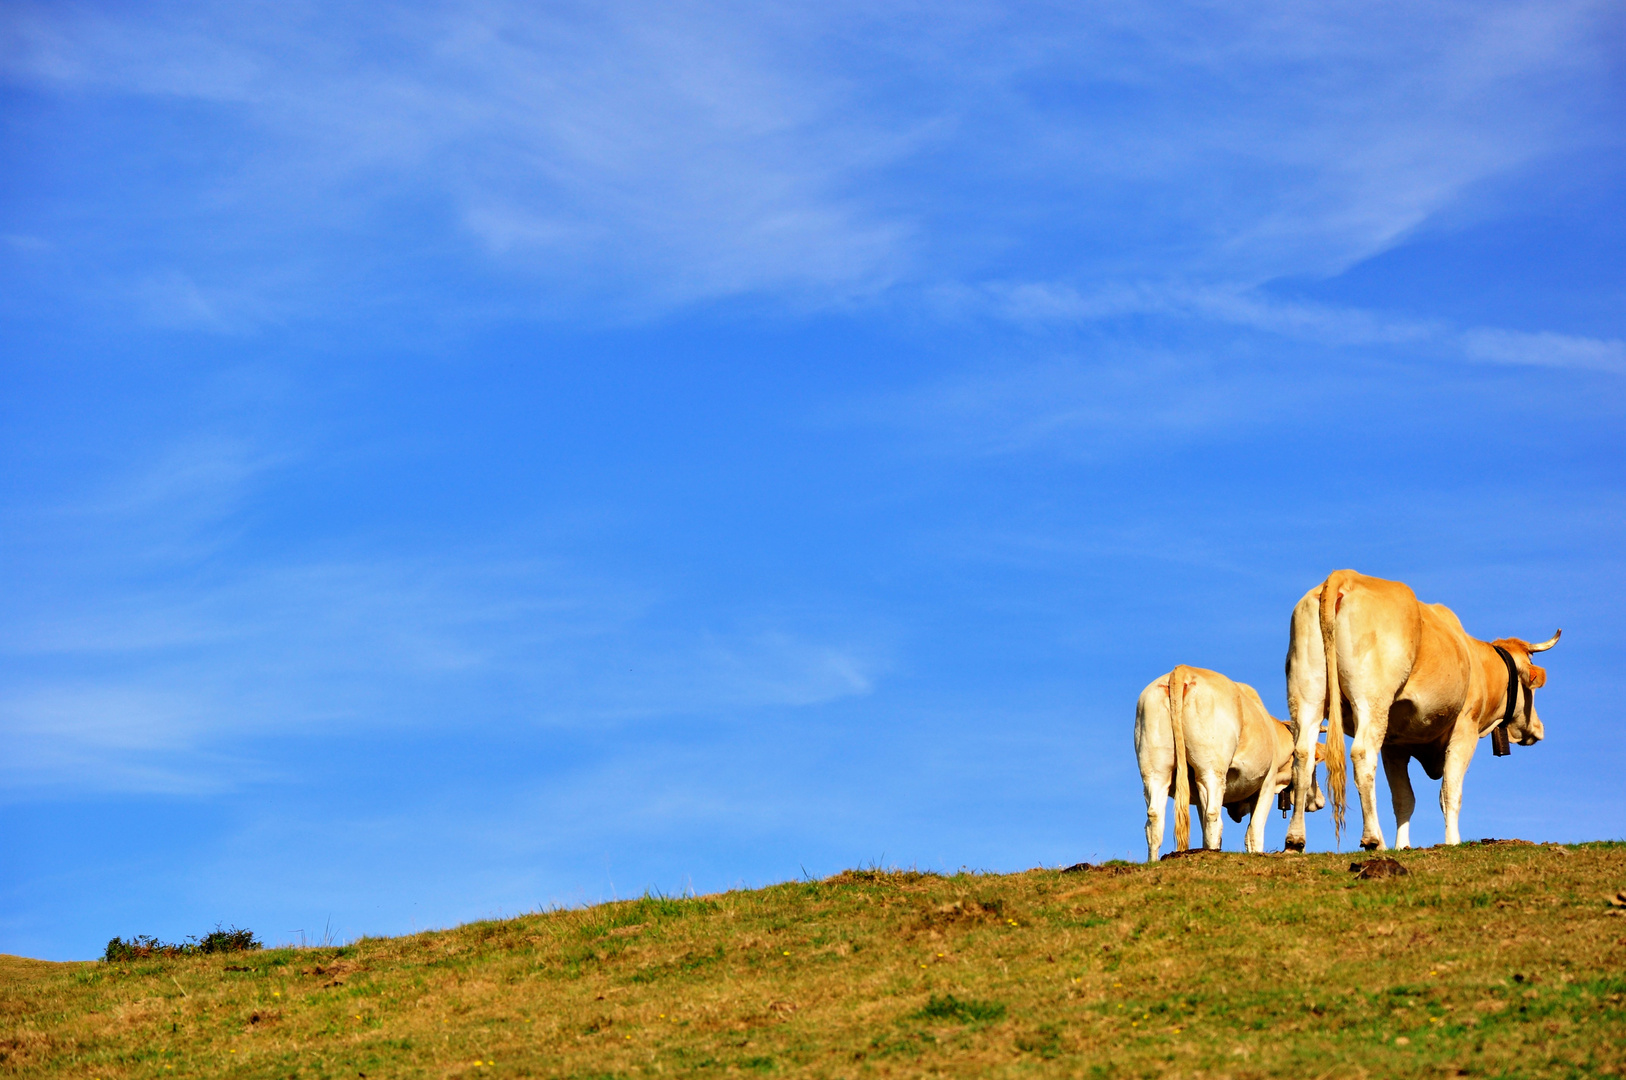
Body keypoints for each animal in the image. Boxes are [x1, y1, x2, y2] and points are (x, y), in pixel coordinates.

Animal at [1138, 663, 1326, 865]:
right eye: (1314, 769)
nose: (1320, 801)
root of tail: (1182, 669)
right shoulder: (1267, 782)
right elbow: (1254, 832)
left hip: (1155, 772)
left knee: (1154, 819)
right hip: (1211, 771)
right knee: (1213, 816)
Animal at [1281, 569, 1560, 858]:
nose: (1538, 728)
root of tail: (1344, 576)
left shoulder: (1394, 744)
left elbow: (1404, 799)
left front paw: (1402, 845)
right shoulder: (1465, 728)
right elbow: (1450, 792)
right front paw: (1452, 841)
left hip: (1308, 696)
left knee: (1303, 755)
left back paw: (1295, 840)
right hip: (1371, 700)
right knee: (1362, 754)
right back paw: (1373, 839)